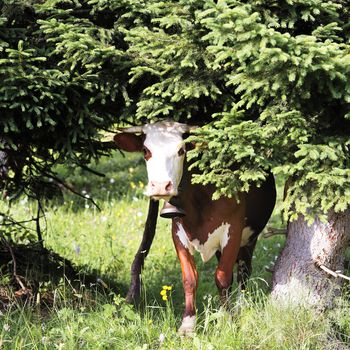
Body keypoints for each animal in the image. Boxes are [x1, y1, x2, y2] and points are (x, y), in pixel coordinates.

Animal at [115, 121, 276, 334]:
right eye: (145, 151)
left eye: (181, 150)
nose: (161, 186)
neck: (200, 199)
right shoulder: (178, 232)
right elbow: (190, 279)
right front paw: (188, 325)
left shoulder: (233, 230)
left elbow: (222, 277)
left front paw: (227, 319)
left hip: (250, 237)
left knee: (244, 270)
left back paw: (241, 305)